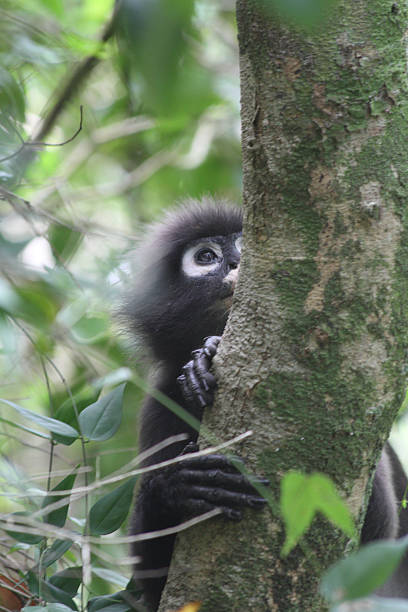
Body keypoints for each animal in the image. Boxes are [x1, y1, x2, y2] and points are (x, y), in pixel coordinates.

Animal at [126, 200, 408, 608]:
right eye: (206, 257)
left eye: (247, 243)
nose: (236, 262)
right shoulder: (160, 405)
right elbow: (154, 584)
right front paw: (181, 487)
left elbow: (371, 533)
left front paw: (207, 355)